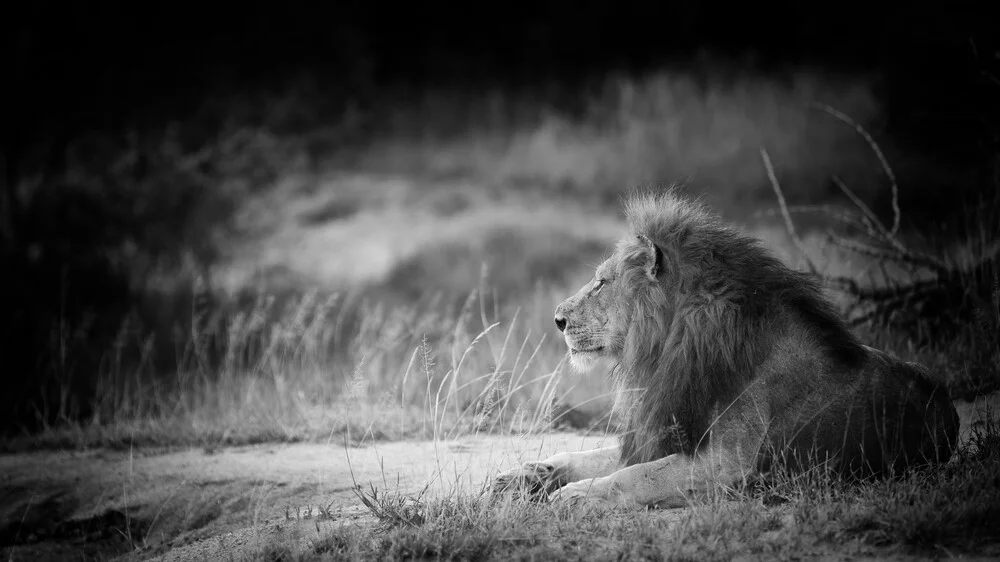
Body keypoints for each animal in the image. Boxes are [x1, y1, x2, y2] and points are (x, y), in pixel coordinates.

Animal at [492, 189, 960, 508]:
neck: (670, 348)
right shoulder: (663, 433)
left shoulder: (728, 465)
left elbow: (639, 477)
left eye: (602, 283)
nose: (557, 320)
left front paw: (577, 495)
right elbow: (590, 454)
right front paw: (526, 475)